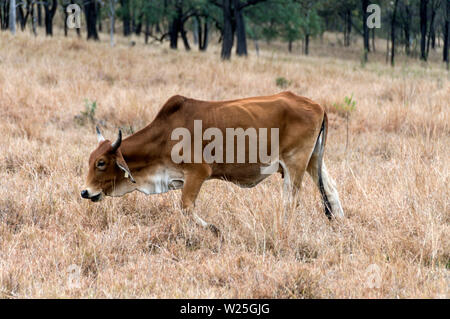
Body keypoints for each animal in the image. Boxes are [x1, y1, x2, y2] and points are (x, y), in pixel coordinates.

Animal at [81, 92, 344, 232]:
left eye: (101, 163)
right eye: (91, 160)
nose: (85, 192)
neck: (164, 136)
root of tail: (317, 105)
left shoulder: (198, 173)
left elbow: (186, 206)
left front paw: (213, 229)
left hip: (294, 163)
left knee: (291, 200)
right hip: (313, 160)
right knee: (331, 191)